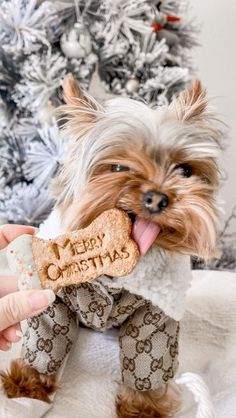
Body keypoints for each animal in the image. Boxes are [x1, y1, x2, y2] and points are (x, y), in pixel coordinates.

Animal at [1, 76, 223, 416]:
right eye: (119, 167)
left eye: (185, 170)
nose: (157, 198)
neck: (117, 277)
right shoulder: (55, 299)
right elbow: (47, 337)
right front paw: (27, 385)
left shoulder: (156, 313)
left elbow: (147, 356)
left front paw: (143, 406)